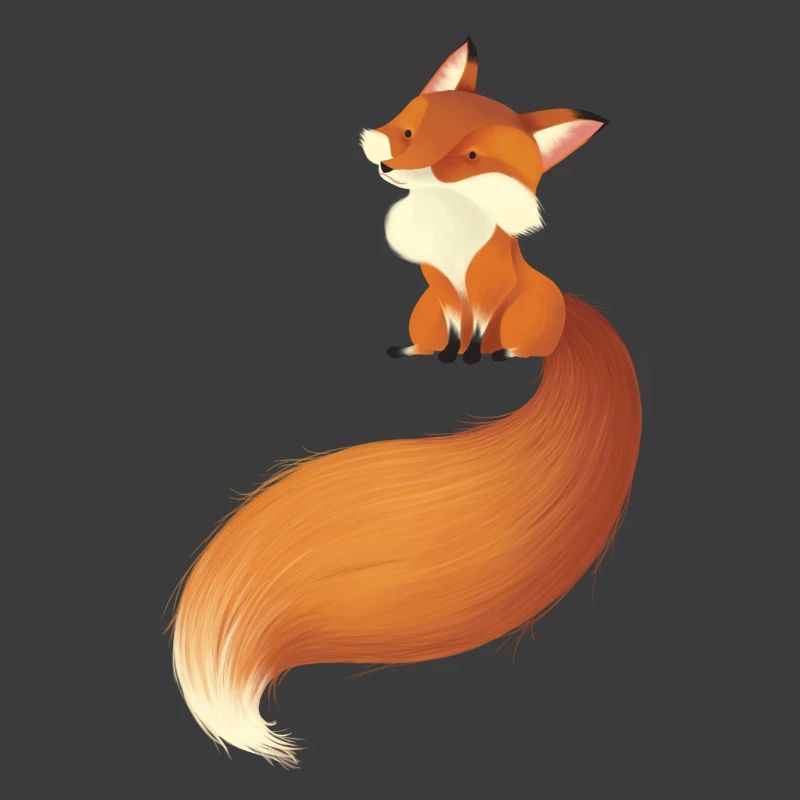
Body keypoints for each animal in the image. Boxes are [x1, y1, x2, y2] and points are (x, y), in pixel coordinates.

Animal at [171, 37, 641, 768]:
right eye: (413, 132)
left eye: (472, 158)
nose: (393, 166)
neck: (449, 226)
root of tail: (569, 315)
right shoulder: (439, 291)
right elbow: (448, 330)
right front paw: (440, 357)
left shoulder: (483, 293)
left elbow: (476, 334)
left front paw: (474, 359)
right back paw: (419, 353)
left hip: (531, 310)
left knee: (515, 341)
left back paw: (504, 356)